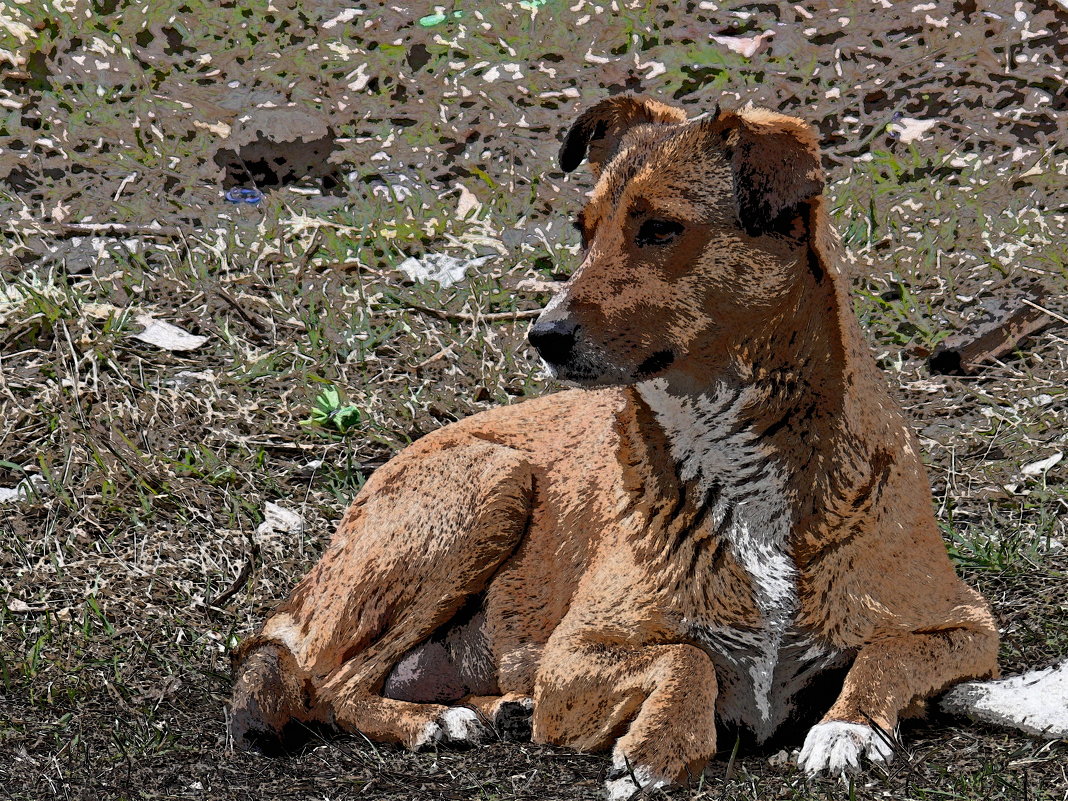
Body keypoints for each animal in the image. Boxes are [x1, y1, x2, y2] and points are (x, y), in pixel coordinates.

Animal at [227, 93, 999, 798]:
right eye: (584, 231)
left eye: (660, 229)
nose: (543, 336)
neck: (731, 447)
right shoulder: (573, 655)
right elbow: (686, 657)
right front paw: (658, 745)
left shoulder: (966, 625)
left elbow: (886, 654)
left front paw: (847, 726)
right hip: (488, 483)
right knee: (329, 684)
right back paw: (432, 722)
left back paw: (498, 708)